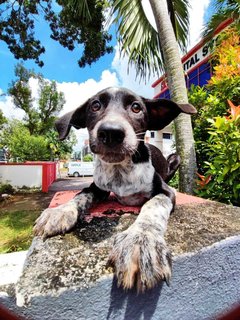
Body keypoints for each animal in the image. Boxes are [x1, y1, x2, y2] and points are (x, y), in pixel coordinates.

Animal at [33, 87, 196, 292]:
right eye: (95, 105)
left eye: (136, 107)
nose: (111, 132)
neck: (121, 170)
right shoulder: (98, 188)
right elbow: (82, 194)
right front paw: (62, 211)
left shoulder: (165, 192)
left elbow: (153, 206)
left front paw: (141, 240)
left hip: (176, 158)